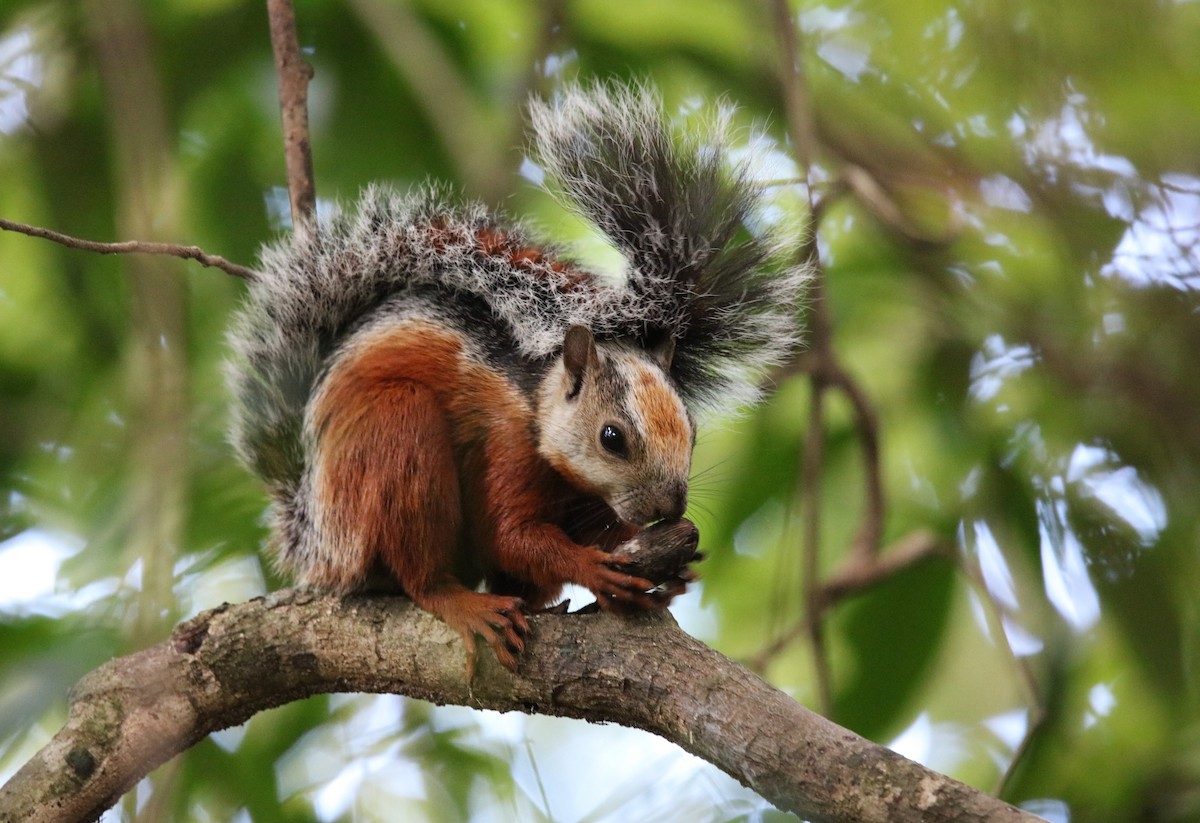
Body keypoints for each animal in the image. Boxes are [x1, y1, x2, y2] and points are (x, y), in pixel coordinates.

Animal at [227, 83, 806, 672]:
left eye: (692, 432)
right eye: (611, 438)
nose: (670, 509)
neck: (539, 412)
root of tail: (313, 535)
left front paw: (667, 573)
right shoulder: (506, 443)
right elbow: (512, 536)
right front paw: (591, 567)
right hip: (390, 442)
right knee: (421, 574)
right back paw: (462, 602)